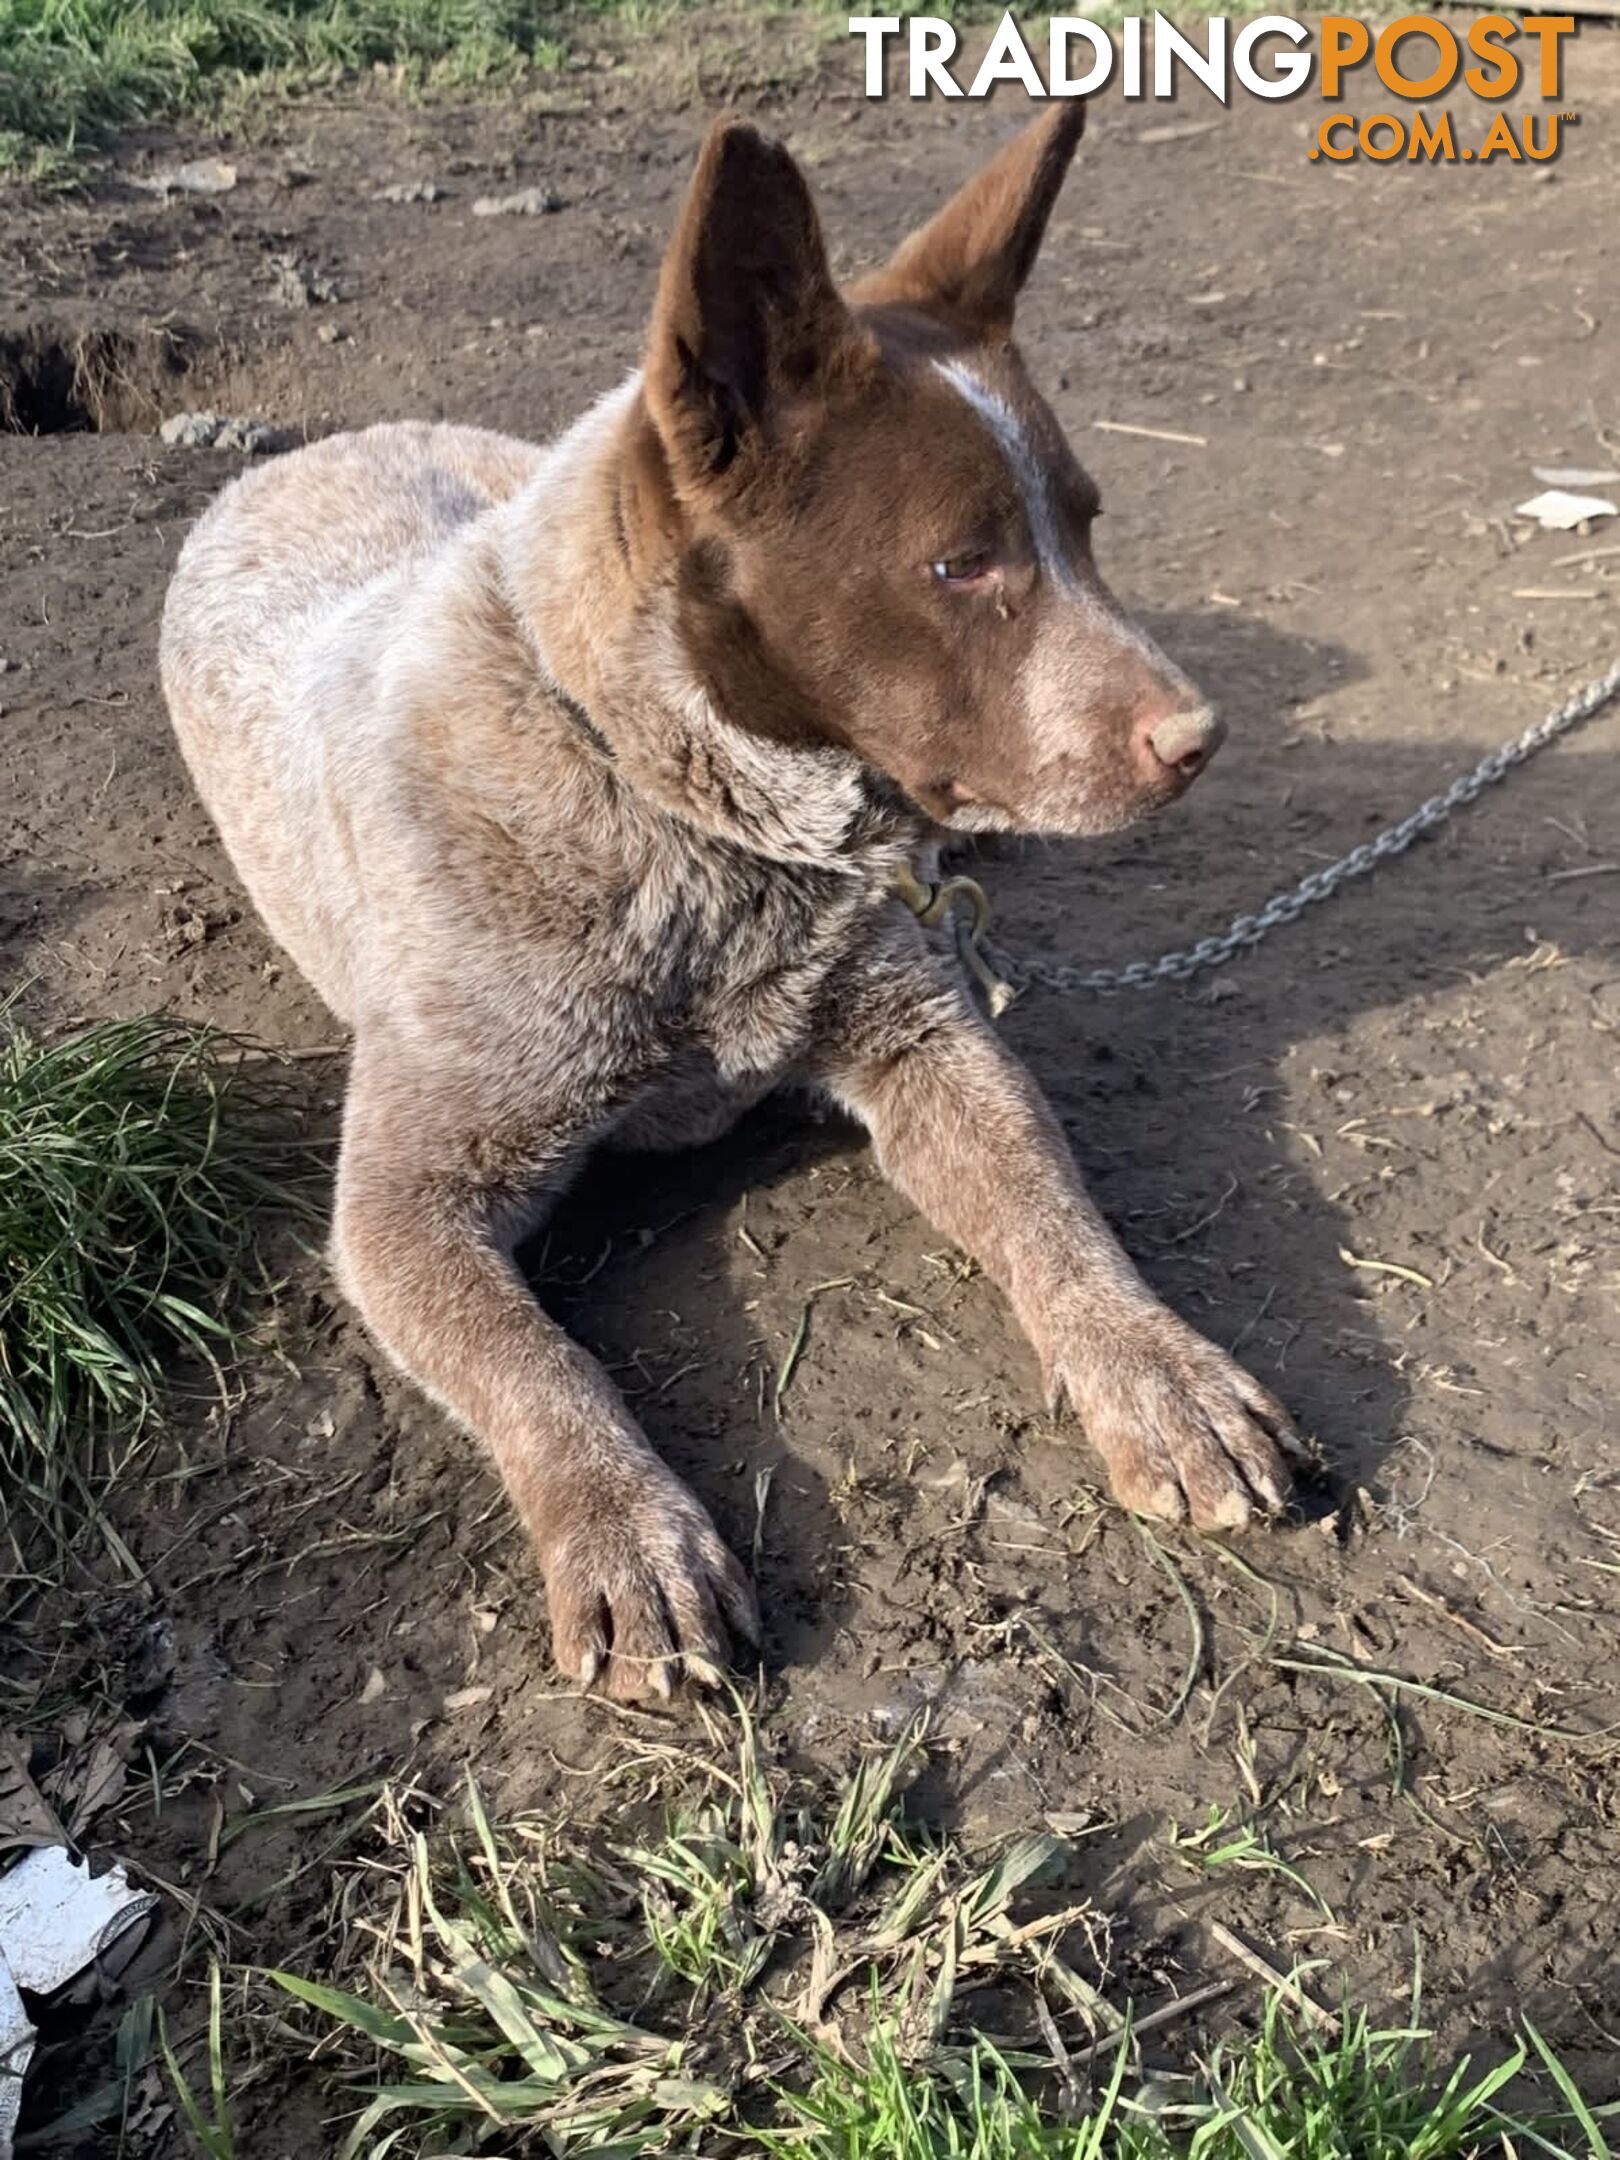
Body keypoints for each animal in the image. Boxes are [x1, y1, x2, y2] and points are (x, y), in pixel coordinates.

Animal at [165, 105, 1304, 1702]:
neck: (689, 819)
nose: (1201, 740)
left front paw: (1159, 1370)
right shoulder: (407, 1203)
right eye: (963, 562)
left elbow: (1053, 1204)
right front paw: (628, 1533)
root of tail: (316, 447)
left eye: (1085, 526)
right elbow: (541, 1365)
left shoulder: (926, 1038)